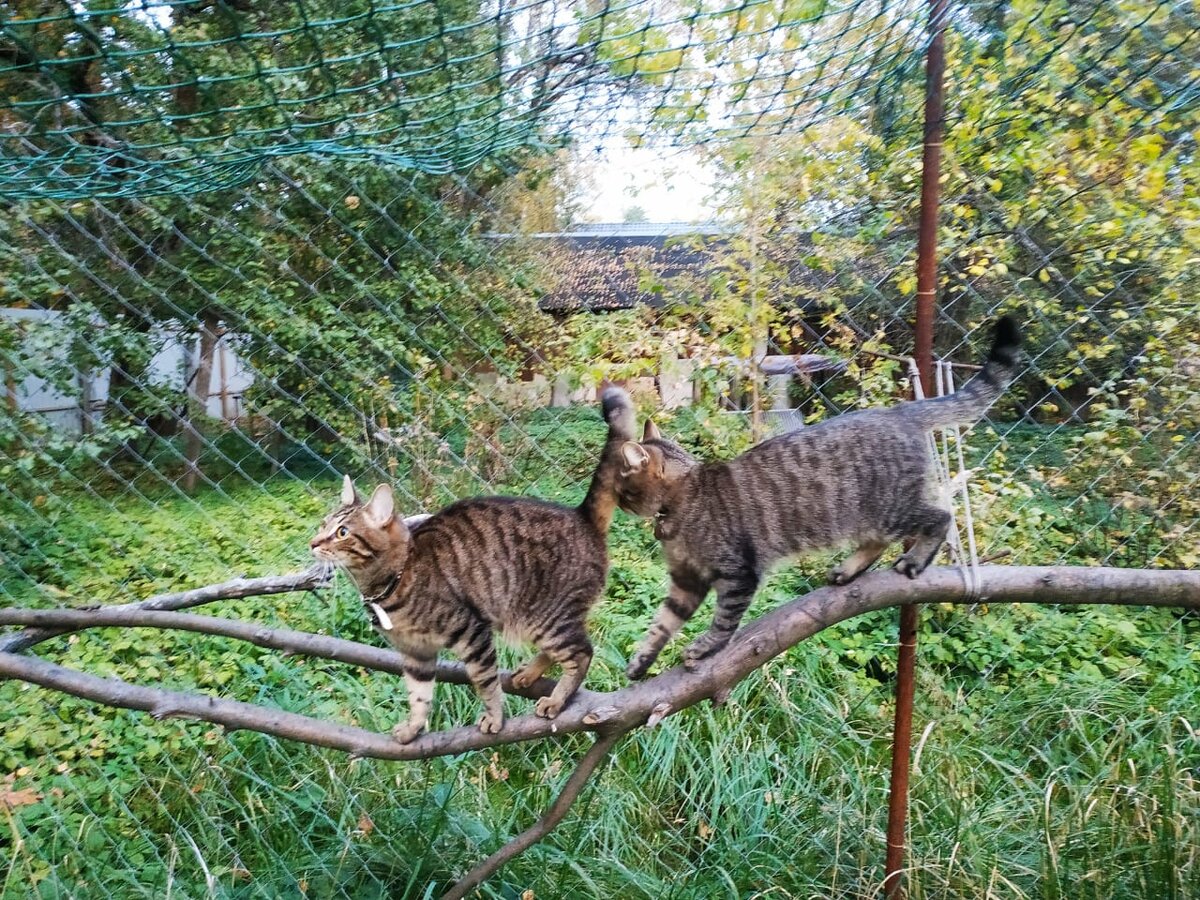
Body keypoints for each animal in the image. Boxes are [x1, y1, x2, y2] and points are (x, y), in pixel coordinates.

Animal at [312, 391, 638, 744]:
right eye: (323, 524)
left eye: (342, 532)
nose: (313, 543)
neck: (391, 582)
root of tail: (581, 515)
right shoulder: (416, 654)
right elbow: (419, 696)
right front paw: (413, 728)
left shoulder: (472, 633)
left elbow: (485, 682)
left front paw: (494, 718)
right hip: (537, 620)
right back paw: (530, 673)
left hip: (546, 617)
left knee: (582, 652)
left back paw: (556, 700)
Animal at [619, 321, 1022, 681]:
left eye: (623, 487)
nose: (618, 502)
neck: (682, 502)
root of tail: (897, 411)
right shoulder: (685, 581)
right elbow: (661, 624)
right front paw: (641, 661)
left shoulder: (738, 574)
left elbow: (723, 623)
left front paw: (704, 649)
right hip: (868, 515)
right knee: (878, 541)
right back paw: (849, 570)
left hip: (891, 508)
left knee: (940, 516)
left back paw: (915, 560)